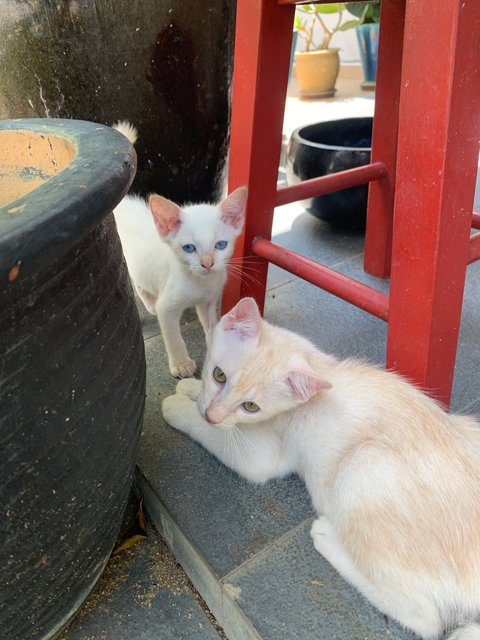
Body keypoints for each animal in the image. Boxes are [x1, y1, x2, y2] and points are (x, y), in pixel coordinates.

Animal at [113, 122, 248, 378]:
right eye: (189, 248)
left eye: (220, 245)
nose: (208, 264)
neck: (200, 283)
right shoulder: (168, 307)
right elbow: (172, 334)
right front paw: (181, 364)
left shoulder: (208, 302)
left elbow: (211, 326)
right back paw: (149, 304)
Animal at [163, 298, 480, 640]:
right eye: (218, 375)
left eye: (251, 407)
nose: (213, 414)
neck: (322, 367)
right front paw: (192, 389)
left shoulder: (260, 456)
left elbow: (216, 435)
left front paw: (176, 407)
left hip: (364, 465)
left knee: (426, 618)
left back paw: (327, 536)